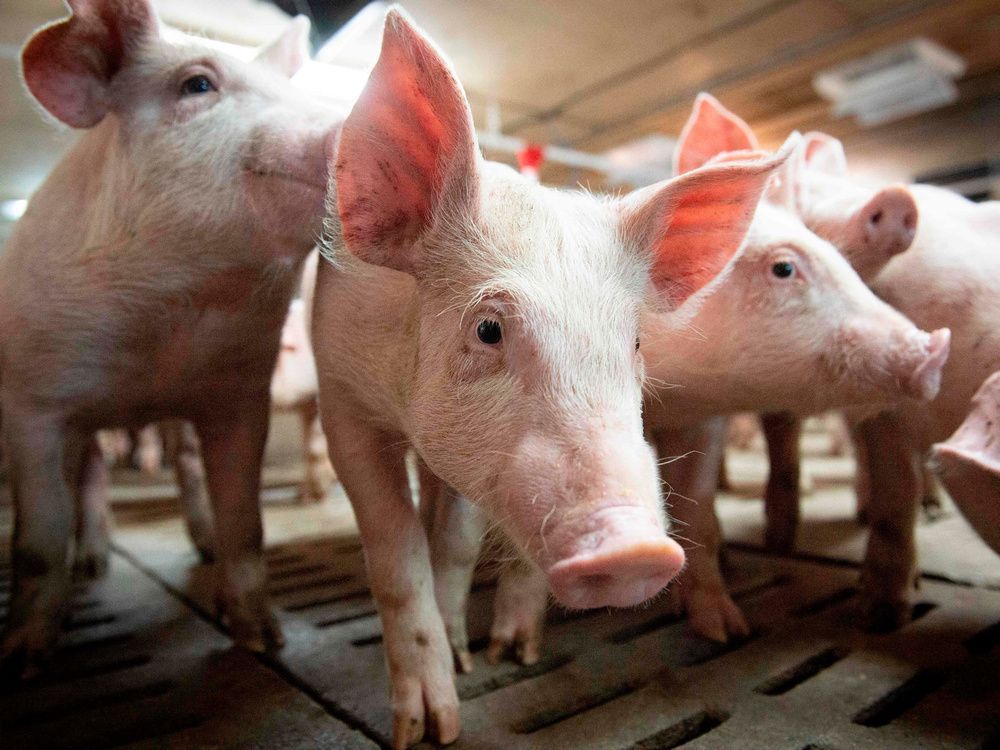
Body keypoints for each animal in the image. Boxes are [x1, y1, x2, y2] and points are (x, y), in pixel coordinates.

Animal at [308, 13, 792, 750]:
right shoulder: (340, 396)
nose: (635, 546)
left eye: (635, 341)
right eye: (488, 329)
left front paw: (493, 656)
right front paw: (430, 728)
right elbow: (395, 551)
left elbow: (456, 542)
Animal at [424, 94, 952, 664]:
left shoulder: (704, 416)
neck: (674, 388)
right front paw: (514, 653)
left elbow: (695, 504)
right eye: (784, 268)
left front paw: (726, 630)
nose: (933, 348)